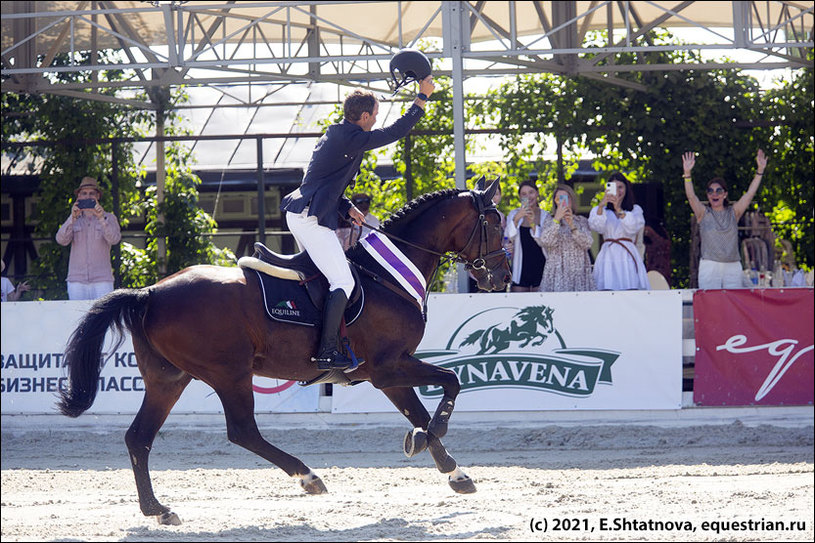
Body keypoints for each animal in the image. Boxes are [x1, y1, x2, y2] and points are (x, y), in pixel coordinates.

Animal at [59, 181, 510, 524]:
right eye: (493, 221)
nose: (503, 277)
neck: (386, 276)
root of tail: (150, 292)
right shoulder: (389, 367)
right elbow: (451, 384)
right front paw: (428, 439)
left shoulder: (387, 375)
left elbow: (419, 413)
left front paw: (454, 473)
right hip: (229, 373)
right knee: (242, 431)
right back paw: (308, 477)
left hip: (168, 378)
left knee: (139, 438)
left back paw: (158, 509)